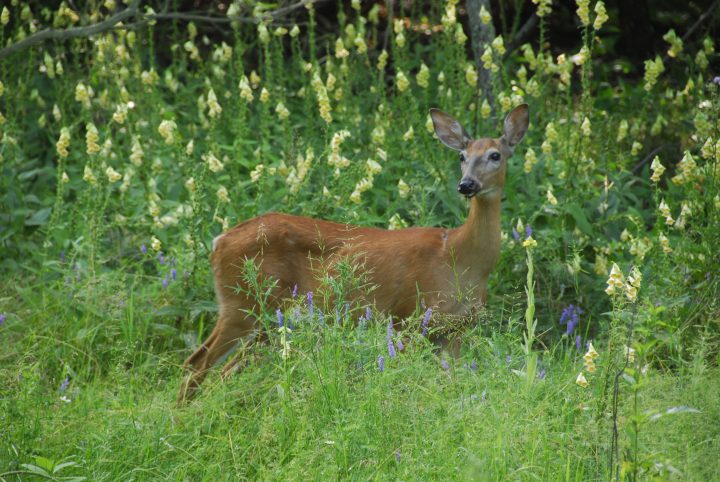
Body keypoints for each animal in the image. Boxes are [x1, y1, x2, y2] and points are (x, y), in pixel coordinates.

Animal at [177, 104, 529, 404]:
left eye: (495, 155)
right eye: (462, 156)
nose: (466, 185)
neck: (458, 257)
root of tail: (219, 240)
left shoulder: (454, 329)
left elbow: (453, 383)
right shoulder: (409, 317)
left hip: (265, 318)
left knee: (225, 369)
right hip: (242, 303)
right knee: (196, 362)